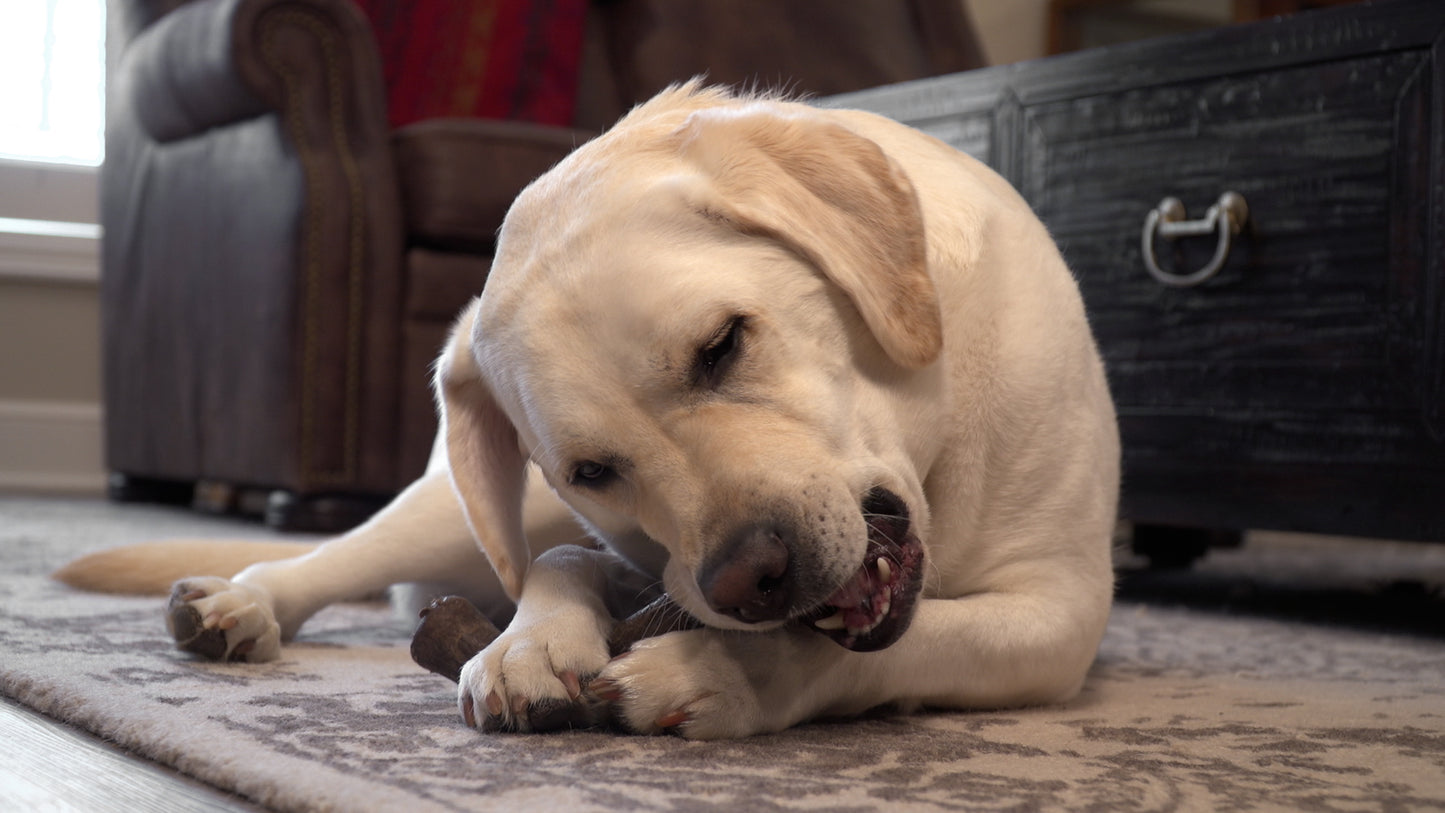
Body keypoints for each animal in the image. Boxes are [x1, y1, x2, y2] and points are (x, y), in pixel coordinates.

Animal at [56, 82, 1115, 739]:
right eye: (590, 471)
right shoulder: (631, 550)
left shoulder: (1057, 613)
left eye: (722, 343)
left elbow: (910, 642)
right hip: (458, 511)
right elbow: (561, 560)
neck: (940, 450)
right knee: (338, 555)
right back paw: (237, 601)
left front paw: (724, 671)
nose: (750, 581)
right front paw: (529, 644)